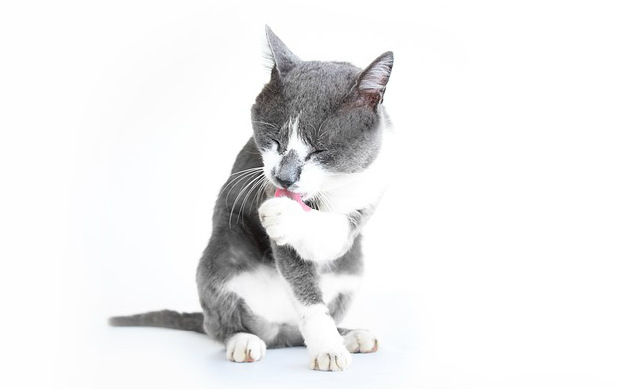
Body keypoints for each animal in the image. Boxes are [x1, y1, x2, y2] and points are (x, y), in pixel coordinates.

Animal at [111, 25, 396, 372]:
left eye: (319, 150)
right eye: (274, 140)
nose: (284, 178)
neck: (334, 188)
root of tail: (280, 333)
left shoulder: (370, 195)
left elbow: (336, 235)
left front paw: (288, 216)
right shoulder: (262, 187)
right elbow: (303, 285)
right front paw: (328, 350)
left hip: (352, 271)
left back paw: (352, 336)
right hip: (219, 262)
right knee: (220, 325)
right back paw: (244, 341)